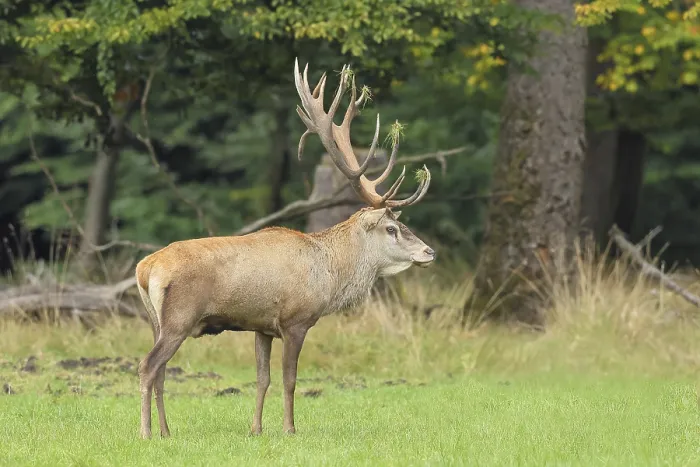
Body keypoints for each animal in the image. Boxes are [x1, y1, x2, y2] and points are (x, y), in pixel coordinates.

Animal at [134, 58, 436, 440]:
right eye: (392, 228)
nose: (429, 252)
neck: (330, 274)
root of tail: (145, 269)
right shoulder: (295, 320)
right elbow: (289, 379)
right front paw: (290, 429)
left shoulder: (261, 326)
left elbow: (262, 379)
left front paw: (256, 429)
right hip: (179, 318)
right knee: (148, 365)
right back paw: (146, 432)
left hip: (154, 320)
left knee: (160, 371)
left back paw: (166, 431)